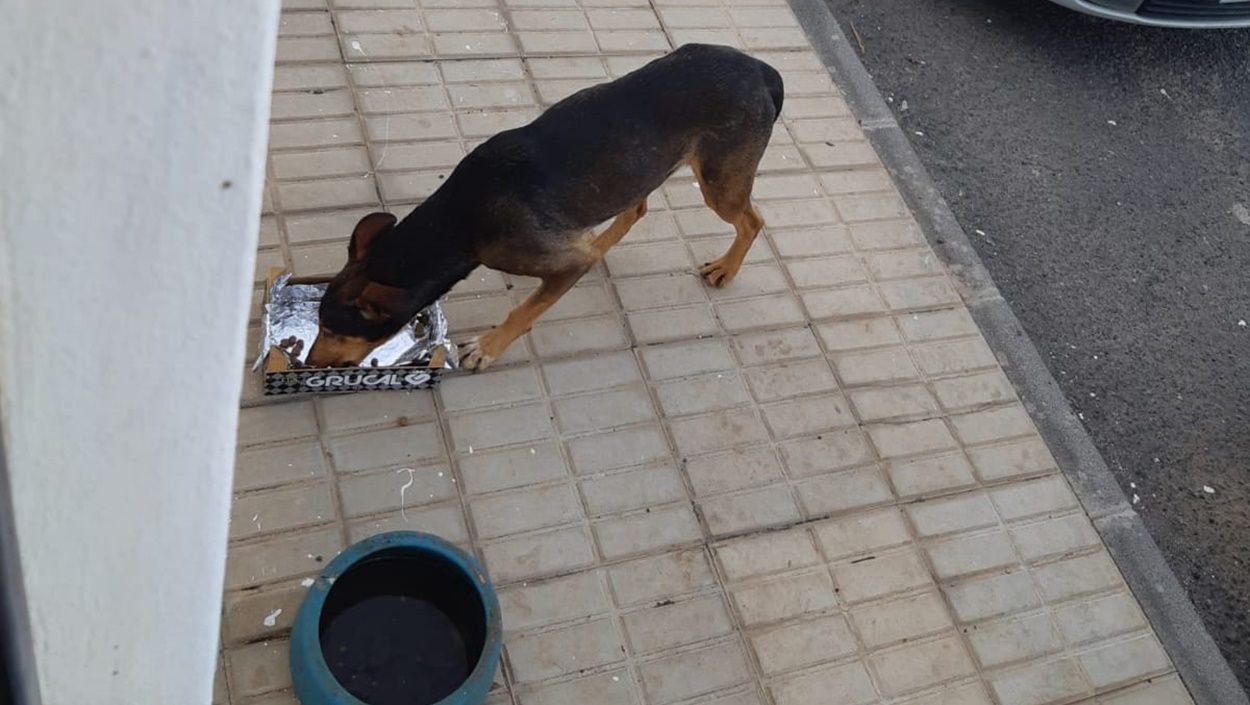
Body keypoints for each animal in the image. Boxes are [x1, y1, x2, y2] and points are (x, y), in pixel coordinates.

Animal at [305, 44, 780, 372]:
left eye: (332, 330)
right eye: (320, 324)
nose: (309, 363)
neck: (462, 217)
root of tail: (761, 70)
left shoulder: (556, 264)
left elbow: (525, 309)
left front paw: (489, 347)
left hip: (719, 181)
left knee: (752, 220)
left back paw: (726, 268)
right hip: (638, 167)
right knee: (635, 209)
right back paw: (600, 243)